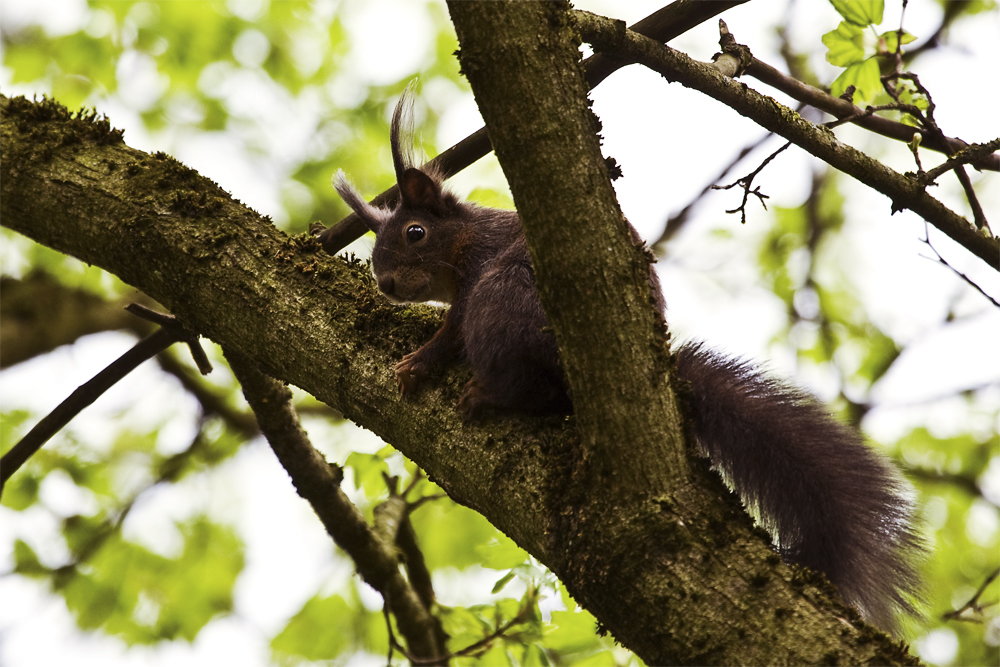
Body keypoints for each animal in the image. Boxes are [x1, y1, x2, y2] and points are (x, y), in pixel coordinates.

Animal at [334, 91, 920, 636]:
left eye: (414, 233)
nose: (386, 283)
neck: (464, 242)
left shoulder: (477, 274)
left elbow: (450, 335)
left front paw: (415, 364)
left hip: (505, 302)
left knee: (536, 388)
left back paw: (489, 394)